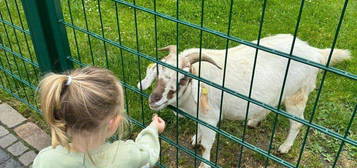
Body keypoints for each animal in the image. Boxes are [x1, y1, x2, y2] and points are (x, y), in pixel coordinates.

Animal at [137, 33, 350, 167]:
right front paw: (196, 138)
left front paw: (204, 163)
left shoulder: (211, 117)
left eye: (183, 78)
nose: (154, 100)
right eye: (158, 72)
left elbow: (207, 145)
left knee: (298, 123)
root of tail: (316, 53)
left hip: (296, 94)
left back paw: (284, 147)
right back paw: (254, 121)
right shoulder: (202, 116)